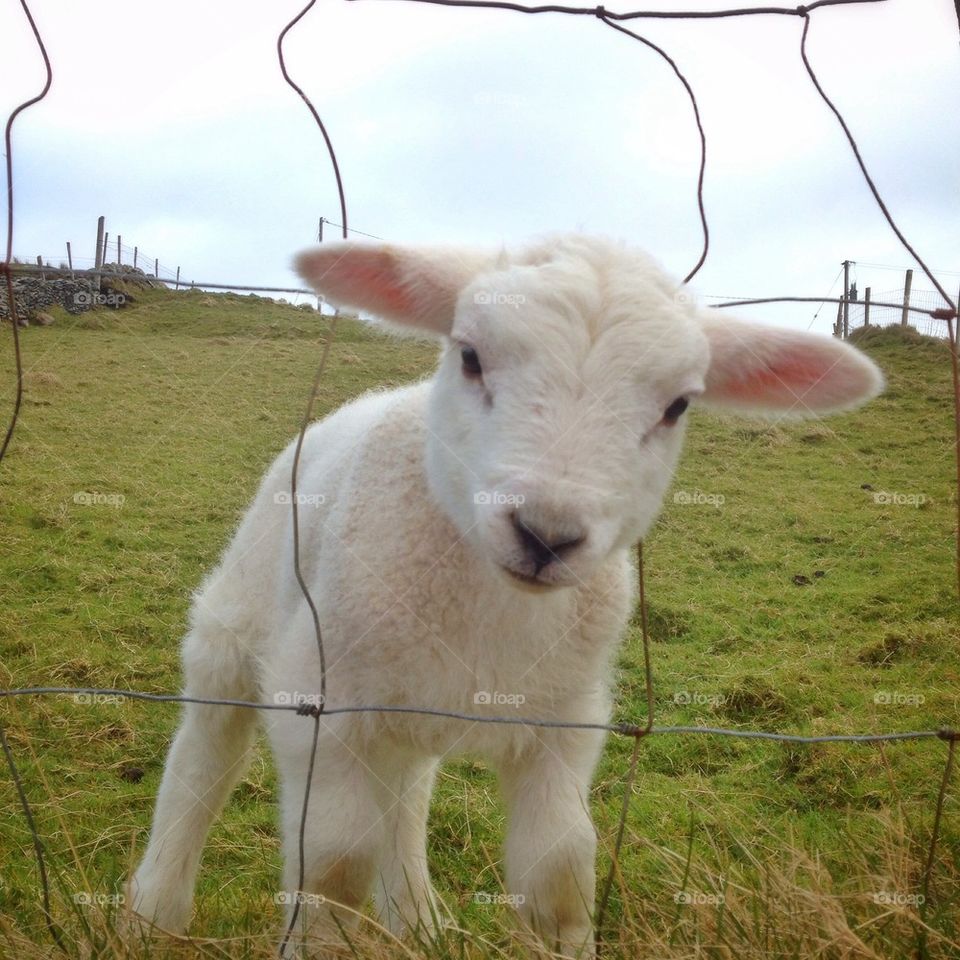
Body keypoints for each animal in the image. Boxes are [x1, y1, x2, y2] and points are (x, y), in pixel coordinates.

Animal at [130, 234, 883, 957]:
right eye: (470, 356)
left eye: (677, 406)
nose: (547, 534)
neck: (488, 606)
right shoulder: (321, 702)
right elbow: (333, 869)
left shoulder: (566, 720)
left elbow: (560, 872)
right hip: (237, 624)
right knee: (204, 758)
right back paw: (152, 912)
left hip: (407, 712)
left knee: (405, 794)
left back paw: (418, 921)